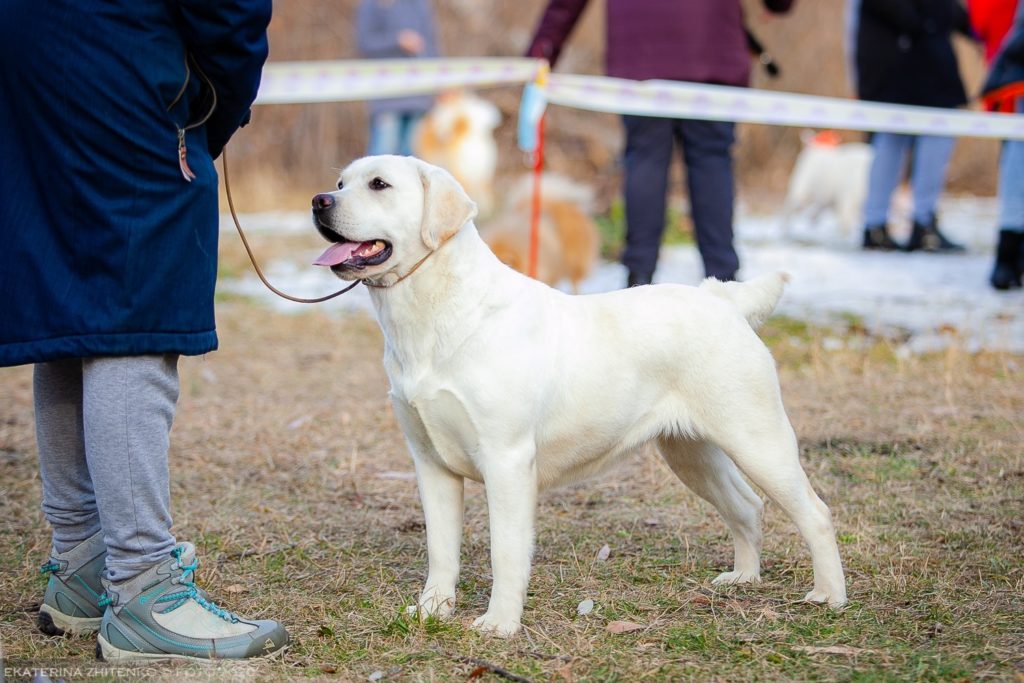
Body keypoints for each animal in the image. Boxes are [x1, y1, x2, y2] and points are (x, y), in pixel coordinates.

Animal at [309, 157, 847, 638]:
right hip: (692, 453)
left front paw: (499, 624)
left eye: (380, 184)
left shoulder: (506, 461)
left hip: (758, 439)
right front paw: (431, 611)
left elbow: (506, 550)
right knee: (747, 506)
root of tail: (723, 299)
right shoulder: (430, 463)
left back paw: (829, 596)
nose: (319, 201)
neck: (435, 314)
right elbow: (442, 549)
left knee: (815, 513)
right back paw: (743, 578)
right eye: (340, 182)